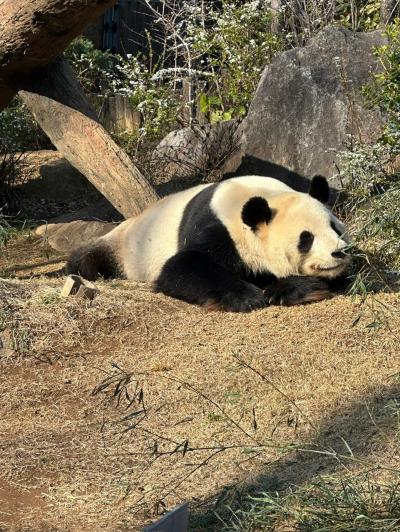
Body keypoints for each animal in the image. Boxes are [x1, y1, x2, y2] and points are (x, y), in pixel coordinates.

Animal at [68, 175, 350, 312]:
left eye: (334, 227)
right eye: (306, 238)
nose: (339, 253)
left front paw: (288, 289)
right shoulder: (218, 228)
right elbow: (181, 267)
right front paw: (247, 297)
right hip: (120, 246)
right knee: (85, 261)